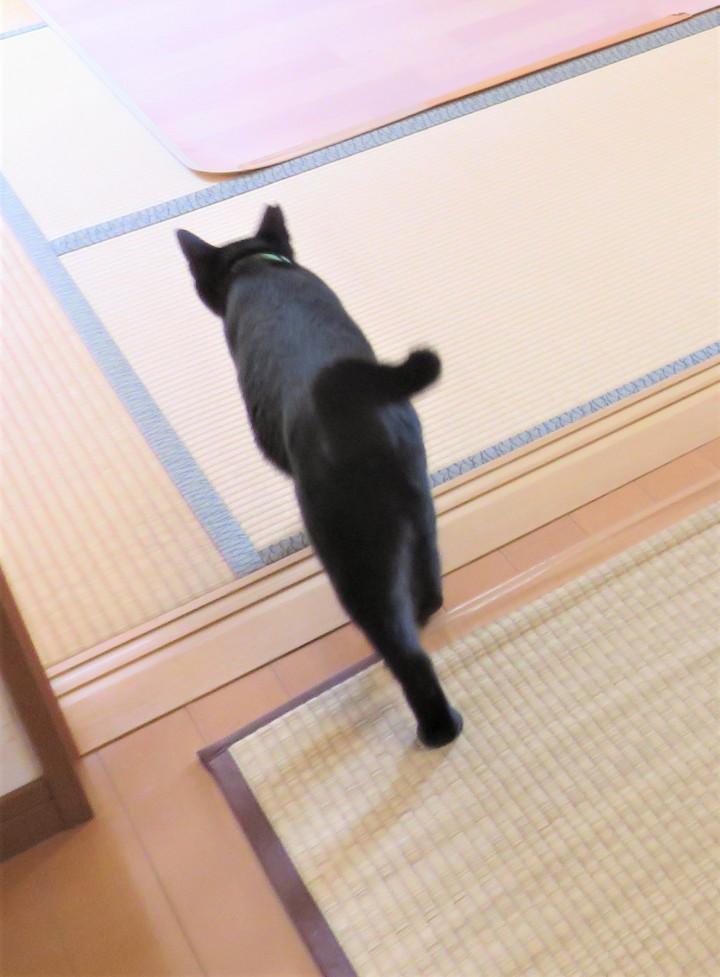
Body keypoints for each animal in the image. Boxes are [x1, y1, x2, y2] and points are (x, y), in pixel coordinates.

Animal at [177, 206, 463, 747]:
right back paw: (425, 615)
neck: (257, 268)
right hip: (419, 508)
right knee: (430, 584)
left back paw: (438, 728)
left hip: (352, 554)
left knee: (404, 650)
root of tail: (350, 393)